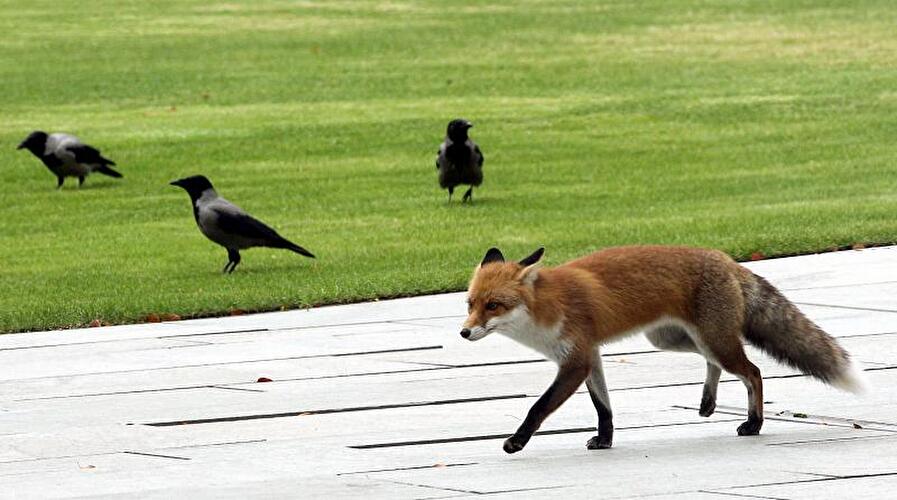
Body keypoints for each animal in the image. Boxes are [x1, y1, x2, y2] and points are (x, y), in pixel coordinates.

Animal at [461, 245, 865, 454]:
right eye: (470, 303)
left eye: (493, 305)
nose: (463, 332)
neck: (545, 307)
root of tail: (727, 259)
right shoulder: (590, 356)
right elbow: (603, 407)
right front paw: (605, 440)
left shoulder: (575, 361)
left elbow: (539, 407)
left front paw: (517, 441)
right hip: (674, 339)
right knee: (716, 363)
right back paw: (708, 402)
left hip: (713, 340)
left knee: (753, 371)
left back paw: (754, 424)